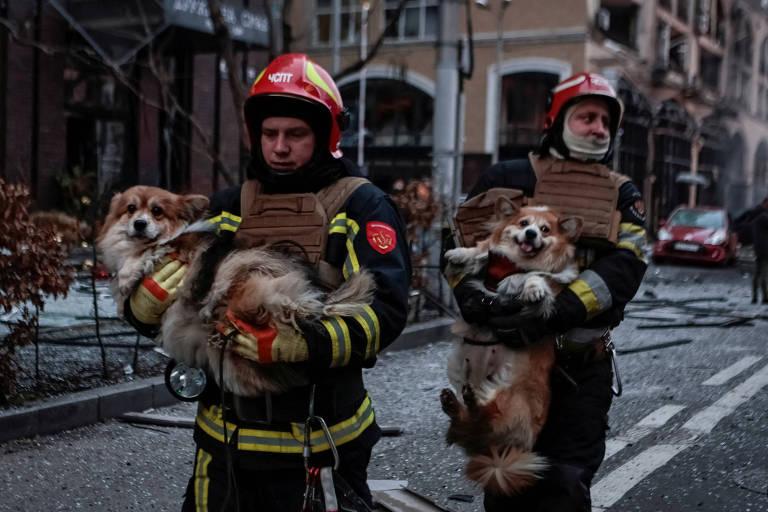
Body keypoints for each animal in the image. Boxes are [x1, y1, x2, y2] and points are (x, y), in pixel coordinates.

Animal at [99, 184, 376, 396]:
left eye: (157, 211)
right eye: (131, 208)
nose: (139, 223)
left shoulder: (176, 249)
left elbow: (145, 255)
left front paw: (126, 279)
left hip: (242, 269)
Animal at [438, 200, 584, 496]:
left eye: (544, 229)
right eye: (523, 223)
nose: (530, 234)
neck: (514, 264)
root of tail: (498, 451)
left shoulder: (554, 278)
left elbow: (536, 278)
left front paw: (531, 288)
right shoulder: (490, 260)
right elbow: (482, 251)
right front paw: (460, 253)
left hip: (509, 399)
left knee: (484, 416)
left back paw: (469, 402)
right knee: (465, 422)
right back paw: (454, 402)